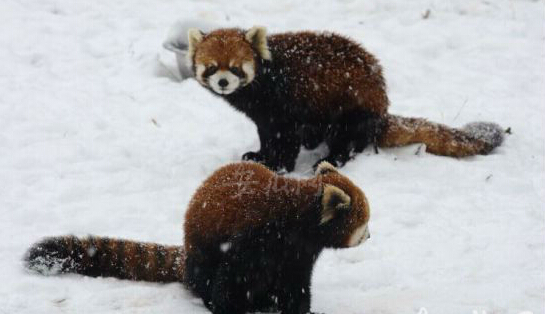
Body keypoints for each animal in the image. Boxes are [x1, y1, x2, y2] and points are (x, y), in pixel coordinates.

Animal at [24, 162, 370, 314]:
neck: (294, 219)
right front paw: (227, 309)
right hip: (202, 249)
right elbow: (230, 279)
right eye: (365, 222)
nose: (369, 235)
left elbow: (295, 286)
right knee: (206, 276)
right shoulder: (252, 239)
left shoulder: (297, 255)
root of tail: (187, 252)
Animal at [185, 26, 504, 173]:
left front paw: (278, 166)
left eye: (236, 67)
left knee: (346, 139)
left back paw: (331, 159)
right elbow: (267, 136)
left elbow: (286, 140)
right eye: (211, 67)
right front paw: (260, 155)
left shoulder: (286, 106)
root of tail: (381, 111)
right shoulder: (265, 117)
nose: (223, 82)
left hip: (351, 110)